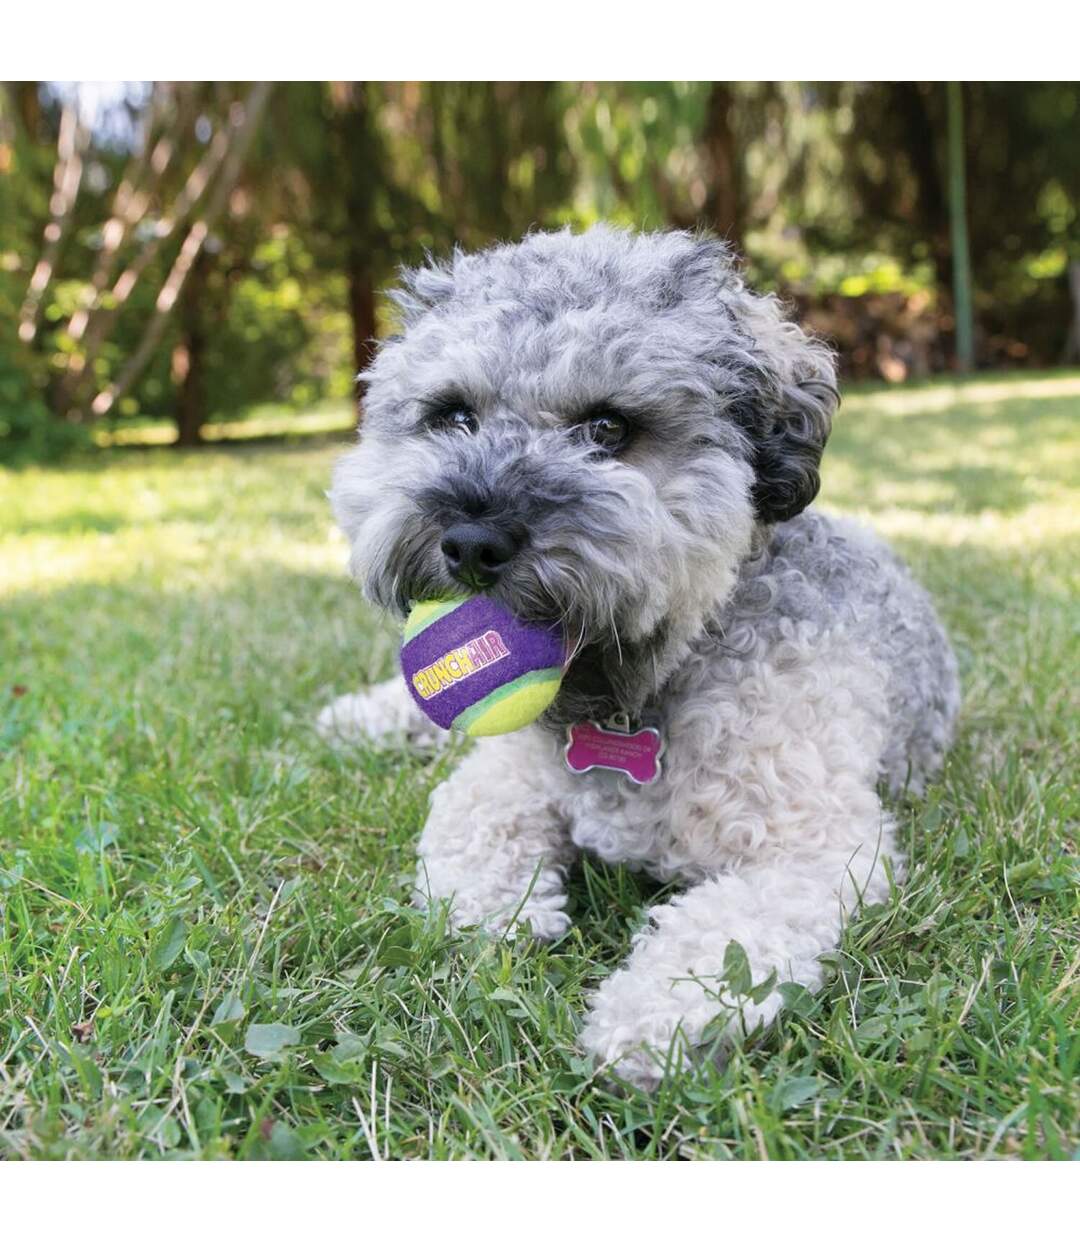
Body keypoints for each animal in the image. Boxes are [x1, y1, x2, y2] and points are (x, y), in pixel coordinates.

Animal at [320, 223, 963, 1087]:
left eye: (608, 429)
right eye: (453, 415)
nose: (472, 541)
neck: (637, 694)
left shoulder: (812, 847)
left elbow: (723, 935)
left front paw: (650, 1016)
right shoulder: (500, 780)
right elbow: (466, 836)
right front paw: (501, 916)